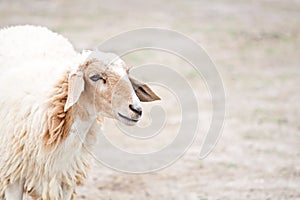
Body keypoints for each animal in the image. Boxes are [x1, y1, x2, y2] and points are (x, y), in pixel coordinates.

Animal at [0, 25, 161, 200]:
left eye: (127, 75)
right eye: (95, 77)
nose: (136, 109)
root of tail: (27, 27)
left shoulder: (67, 179)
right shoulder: (13, 177)